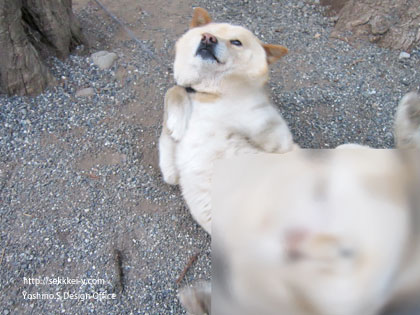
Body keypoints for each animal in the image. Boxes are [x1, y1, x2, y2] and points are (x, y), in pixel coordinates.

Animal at [158, 7, 296, 236]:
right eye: (205, 33)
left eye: (236, 42)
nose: (208, 38)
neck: (208, 92)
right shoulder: (171, 170)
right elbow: (174, 90)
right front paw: (177, 122)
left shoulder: (282, 140)